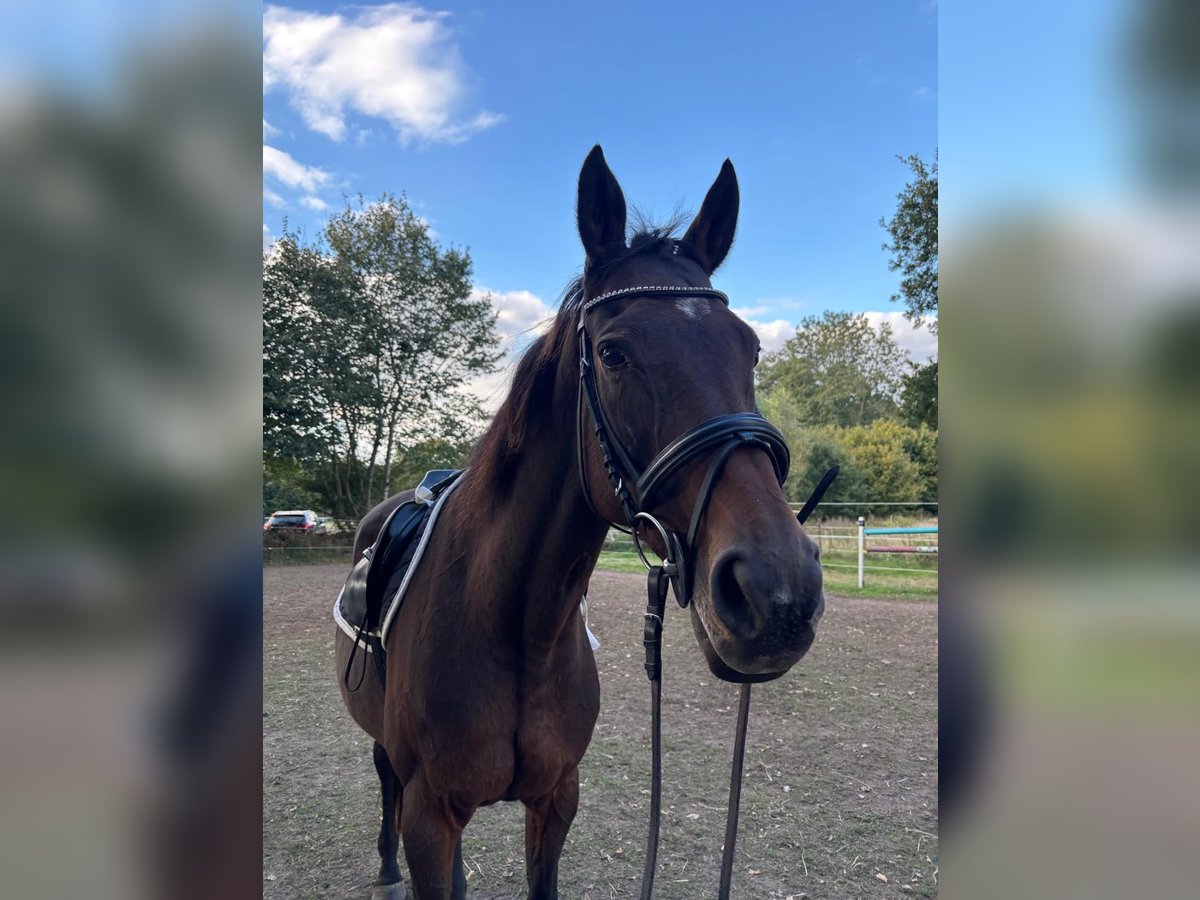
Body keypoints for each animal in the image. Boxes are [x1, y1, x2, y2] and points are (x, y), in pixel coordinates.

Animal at [335, 145, 825, 899]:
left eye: (750, 350)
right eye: (616, 352)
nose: (778, 592)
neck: (512, 626)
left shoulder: (556, 798)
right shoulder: (428, 815)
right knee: (382, 775)